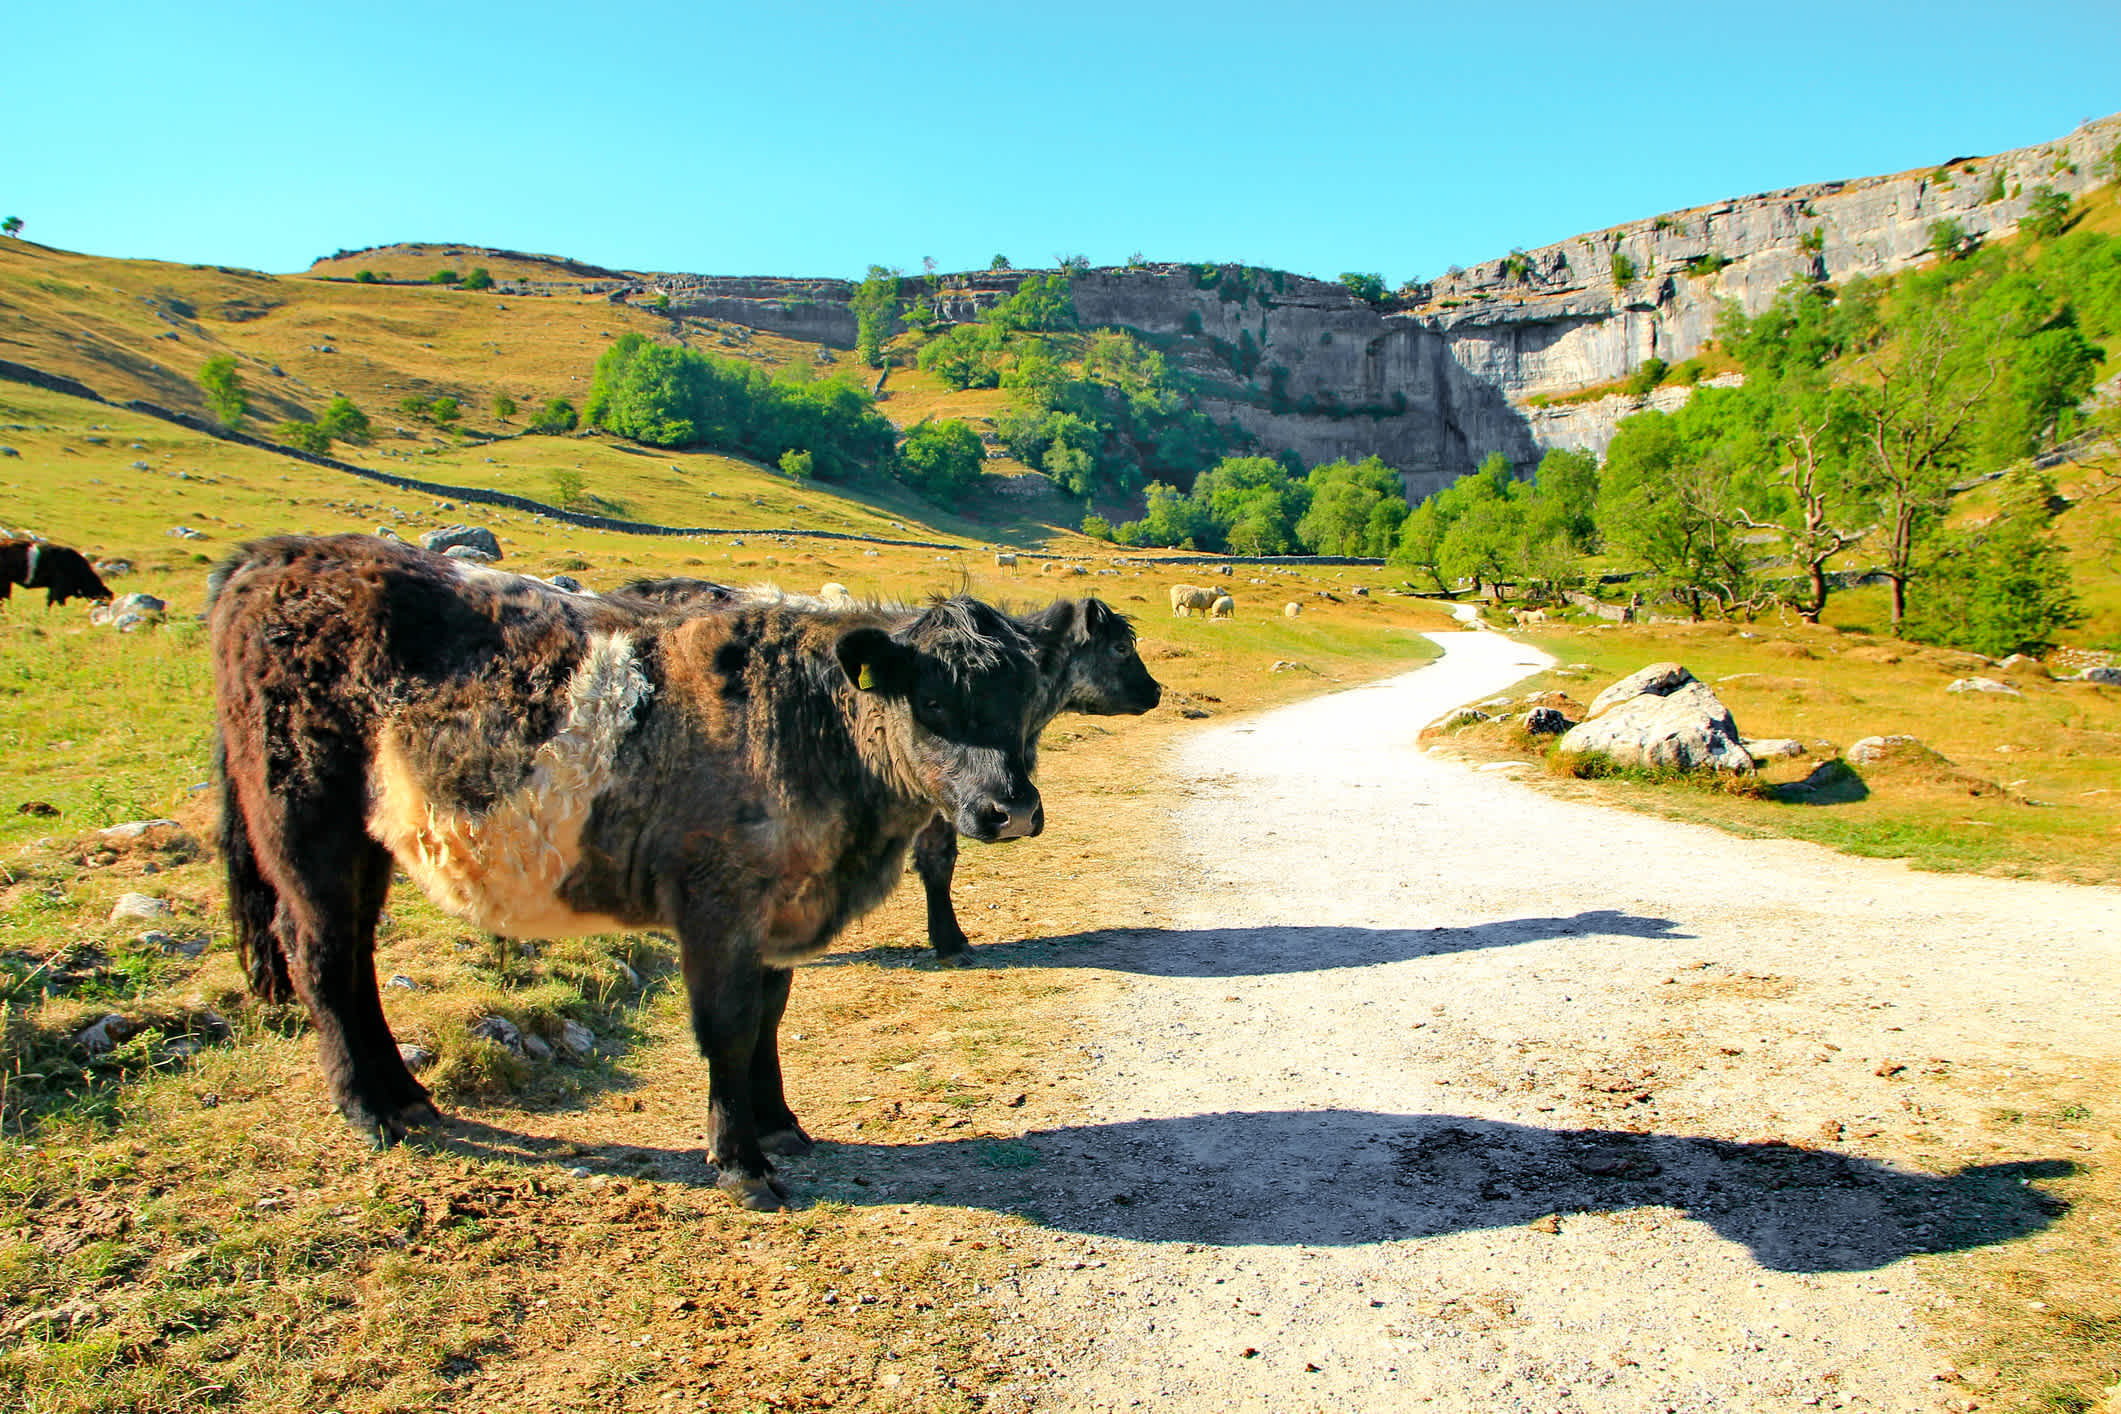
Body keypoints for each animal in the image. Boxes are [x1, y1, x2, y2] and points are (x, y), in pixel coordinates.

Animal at [208, 536, 1043, 1212]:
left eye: (1029, 703)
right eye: (931, 699)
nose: (1011, 810)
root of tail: (273, 556)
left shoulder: (779, 906)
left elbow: (768, 1016)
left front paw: (778, 1124)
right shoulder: (716, 903)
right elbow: (728, 1026)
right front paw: (740, 1163)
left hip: (367, 839)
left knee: (355, 957)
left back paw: (405, 1097)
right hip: (302, 822)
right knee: (318, 955)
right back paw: (368, 1108)